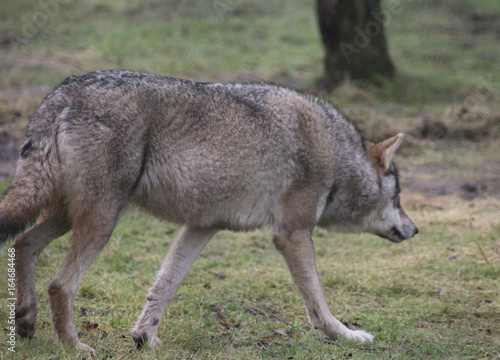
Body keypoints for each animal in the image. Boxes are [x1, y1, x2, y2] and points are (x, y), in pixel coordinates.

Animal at [0, 70, 418, 352]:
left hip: (68, 214)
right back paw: (74, 346)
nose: (415, 230)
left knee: (24, 243)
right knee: (61, 283)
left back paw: (26, 323)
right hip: (101, 221)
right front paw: (348, 334)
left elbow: (165, 287)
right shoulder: (291, 234)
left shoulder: (200, 228)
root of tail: (64, 90)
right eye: (399, 196)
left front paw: (144, 338)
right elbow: (317, 300)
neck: (336, 155)